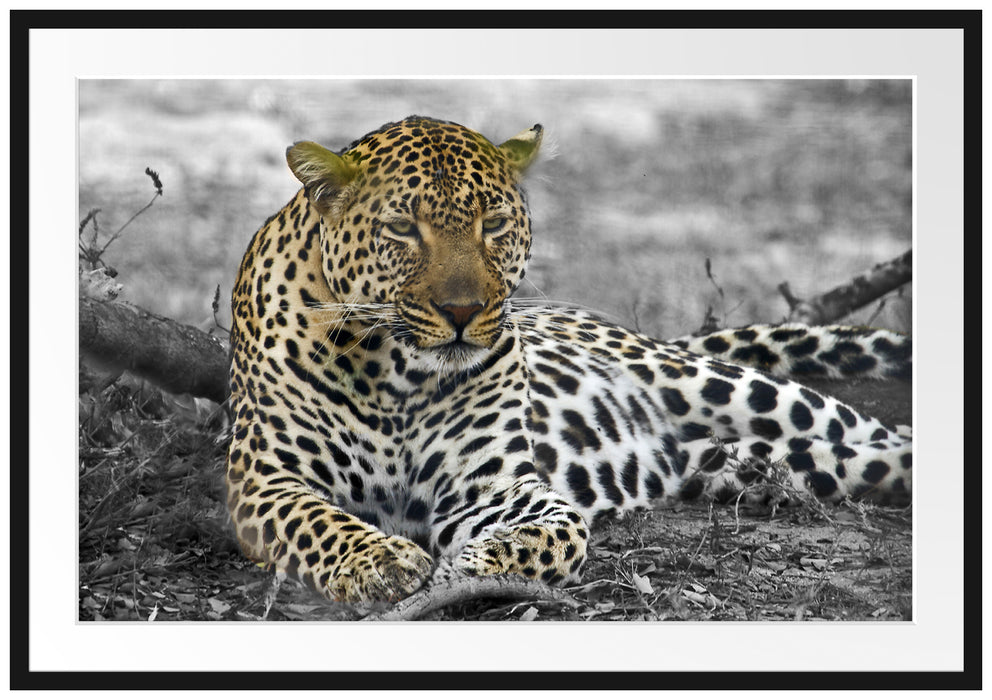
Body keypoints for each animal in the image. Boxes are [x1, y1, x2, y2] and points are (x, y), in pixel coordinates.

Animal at [226, 115, 912, 605]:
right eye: (401, 230)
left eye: (495, 224)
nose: (462, 310)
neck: (397, 372)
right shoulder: (264, 481)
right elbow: (319, 521)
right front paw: (383, 561)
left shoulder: (496, 487)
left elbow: (555, 531)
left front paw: (466, 568)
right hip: (757, 460)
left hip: (732, 388)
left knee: (878, 431)